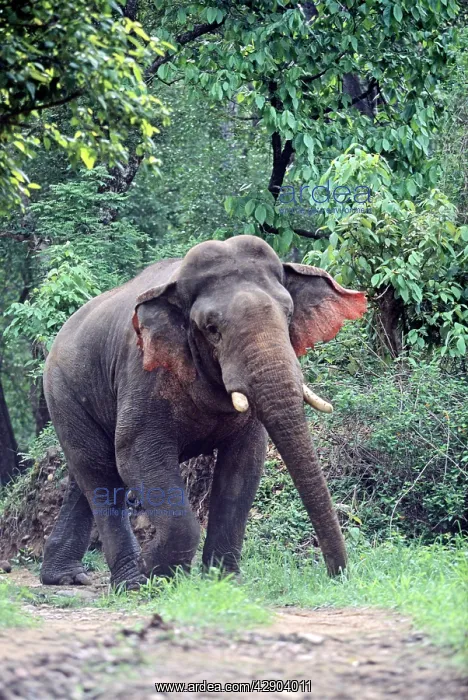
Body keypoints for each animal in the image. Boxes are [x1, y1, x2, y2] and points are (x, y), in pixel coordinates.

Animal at [40, 235, 366, 589]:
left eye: (289, 314)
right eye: (212, 329)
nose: (337, 575)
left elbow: (244, 464)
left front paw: (224, 581)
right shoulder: (143, 374)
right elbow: (134, 454)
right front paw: (160, 576)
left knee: (86, 473)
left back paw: (67, 576)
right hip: (63, 392)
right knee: (100, 471)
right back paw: (130, 583)